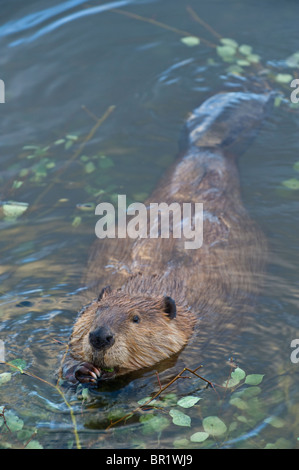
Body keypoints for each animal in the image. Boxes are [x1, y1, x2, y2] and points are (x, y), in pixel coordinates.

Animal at [61, 92, 274, 386]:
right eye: (98, 309)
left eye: (136, 318)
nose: (100, 336)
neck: (147, 285)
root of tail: (208, 149)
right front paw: (84, 370)